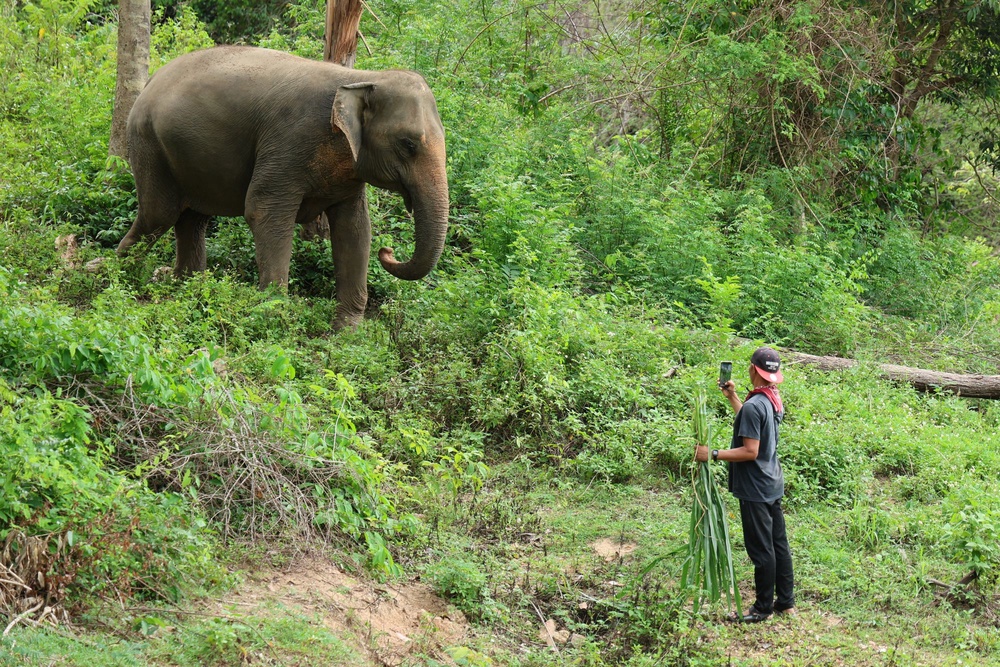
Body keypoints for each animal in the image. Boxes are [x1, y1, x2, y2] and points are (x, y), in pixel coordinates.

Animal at [116, 46, 449, 329]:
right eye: (408, 144)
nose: (388, 251)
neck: (362, 78)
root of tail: (151, 80)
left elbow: (355, 229)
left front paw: (346, 332)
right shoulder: (289, 141)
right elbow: (264, 211)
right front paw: (273, 316)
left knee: (192, 219)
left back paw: (188, 287)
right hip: (148, 143)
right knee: (159, 215)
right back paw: (117, 275)